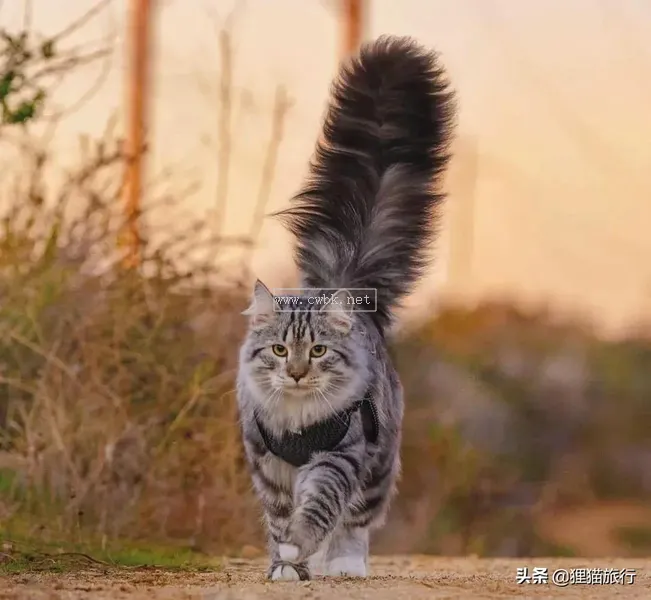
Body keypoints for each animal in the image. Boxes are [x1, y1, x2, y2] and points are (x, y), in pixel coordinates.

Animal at [237, 35, 456, 580]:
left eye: (317, 352)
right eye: (278, 350)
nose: (295, 372)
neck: (296, 421)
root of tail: (345, 282)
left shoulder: (339, 456)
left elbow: (318, 511)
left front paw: (301, 551)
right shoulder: (266, 463)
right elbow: (279, 519)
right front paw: (284, 564)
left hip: (378, 458)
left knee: (357, 520)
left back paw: (344, 565)